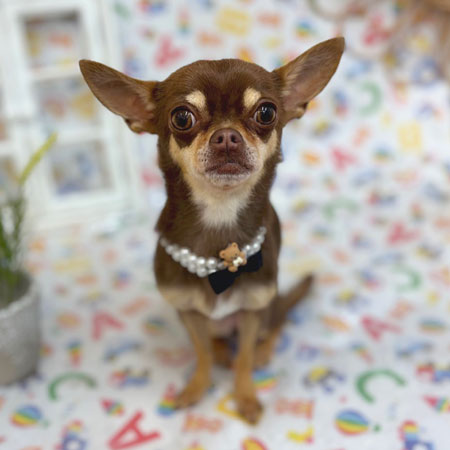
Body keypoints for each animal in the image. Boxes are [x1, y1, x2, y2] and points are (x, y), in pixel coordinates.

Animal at [79, 37, 344, 424]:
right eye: (181, 117)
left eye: (266, 112)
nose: (227, 137)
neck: (220, 218)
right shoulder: (187, 313)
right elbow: (200, 352)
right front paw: (197, 387)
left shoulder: (252, 311)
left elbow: (244, 358)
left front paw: (245, 396)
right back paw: (221, 351)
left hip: (269, 307)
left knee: (276, 324)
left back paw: (262, 350)